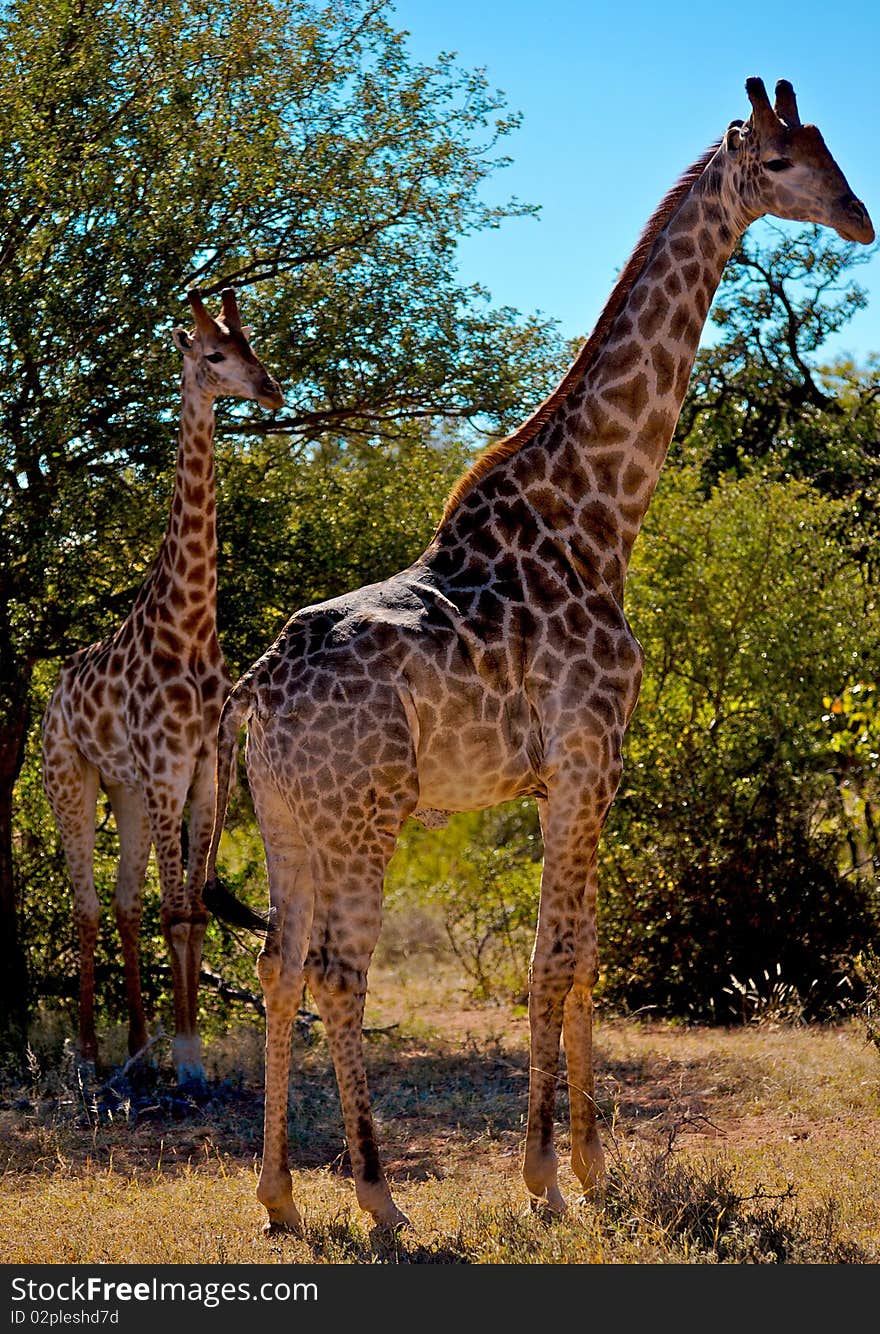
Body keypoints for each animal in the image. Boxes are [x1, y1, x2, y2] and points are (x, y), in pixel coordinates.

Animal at [42, 286, 281, 1088]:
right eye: (214, 354)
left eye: (252, 344)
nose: (271, 390)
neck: (191, 629)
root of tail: (51, 697)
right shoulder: (166, 768)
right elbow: (177, 909)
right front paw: (186, 1059)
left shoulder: (207, 768)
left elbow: (193, 911)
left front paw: (183, 1051)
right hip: (71, 780)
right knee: (87, 904)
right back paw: (90, 1058)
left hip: (126, 790)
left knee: (123, 902)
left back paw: (134, 1049)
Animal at [206, 78, 874, 1227]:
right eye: (784, 162)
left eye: (828, 147)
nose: (860, 219)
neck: (599, 520)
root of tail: (255, 691)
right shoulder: (584, 756)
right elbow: (551, 959)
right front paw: (543, 1180)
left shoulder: (586, 770)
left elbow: (588, 955)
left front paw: (596, 1167)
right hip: (366, 812)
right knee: (339, 970)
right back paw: (380, 1199)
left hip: (286, 814)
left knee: (277, 963)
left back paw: (281, 1196)